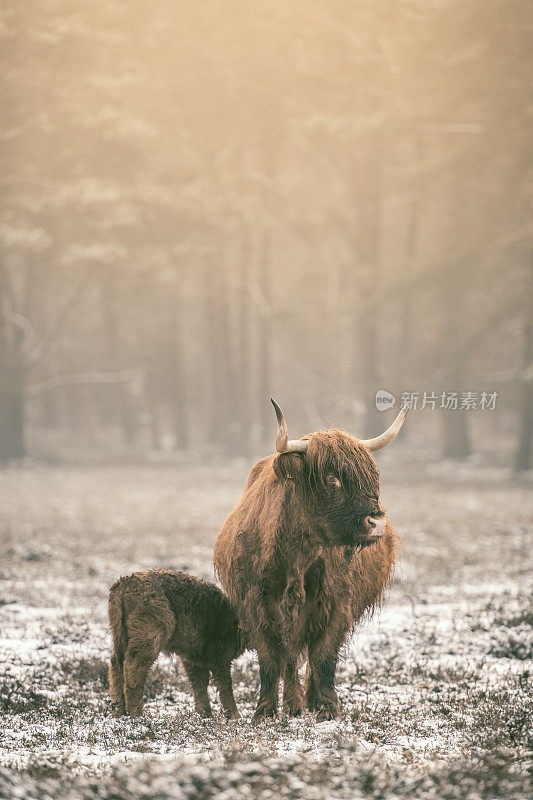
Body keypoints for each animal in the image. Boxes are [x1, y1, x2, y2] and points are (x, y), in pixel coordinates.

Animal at [107, 568, 243, 720]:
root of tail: (123, 585)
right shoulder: (219, 655)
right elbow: (224, 684)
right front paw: (235, 715)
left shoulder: (194, 657)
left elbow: (199, 683)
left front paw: (205, 713)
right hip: (148, 636)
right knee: (134, 667)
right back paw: (136, 714)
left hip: (120, 635)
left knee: (116, 664)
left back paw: (118, 711)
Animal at [212, 398, 408, 720]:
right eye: (332, 478)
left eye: (371, 476)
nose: (377, 522)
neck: (296, 555)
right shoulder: (254, 603)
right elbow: (271, 659)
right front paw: (265, 710)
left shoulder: (337, 603)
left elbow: (324, 657)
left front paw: (327, 708)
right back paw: (293, 705)